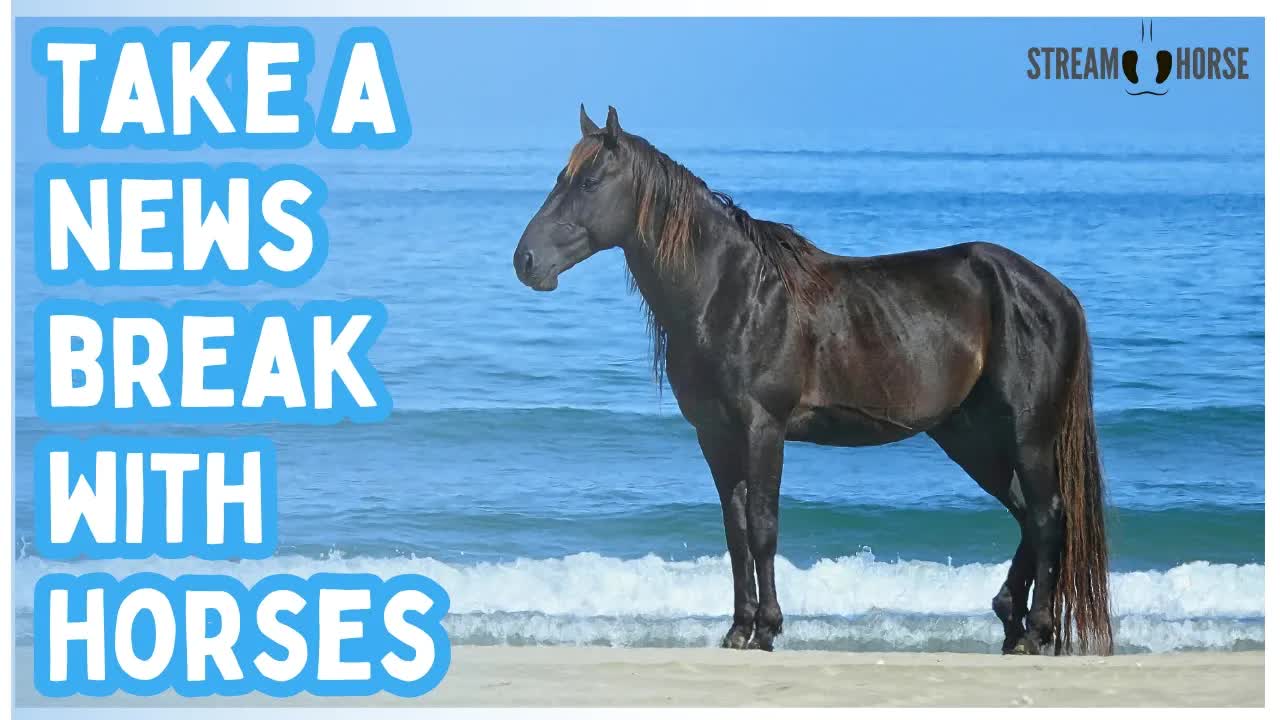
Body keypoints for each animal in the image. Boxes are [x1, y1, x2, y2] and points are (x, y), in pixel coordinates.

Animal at [513, 105, 1113, 656]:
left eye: (589, 182)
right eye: (561, 178)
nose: (526, 261)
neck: (732, 293)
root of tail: (1056, 292)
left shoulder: (764, 428)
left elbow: (762, 525)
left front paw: (767, 628)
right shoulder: (716, 435)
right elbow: (734, 530)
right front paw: (738, 628)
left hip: (1027, 434)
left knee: (1047, 516)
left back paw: (1035, 631)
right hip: (971, 437)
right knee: (1026, 514)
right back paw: (1011, 622)